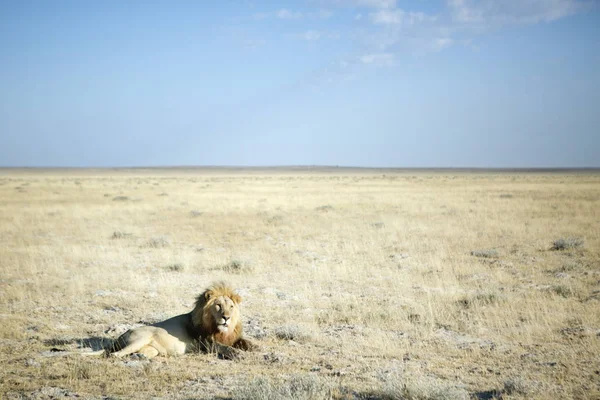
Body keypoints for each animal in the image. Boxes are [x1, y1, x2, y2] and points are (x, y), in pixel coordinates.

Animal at [82, 282, 251, 360]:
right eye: (218, 306)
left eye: (231, 306)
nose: (227, 318)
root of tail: (120, 336)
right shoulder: (206, 344)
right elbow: (225, 348)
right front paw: (239, 354)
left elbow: (247, 342)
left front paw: (252, 348)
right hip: (140, 338)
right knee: (113, 355)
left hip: (152, 349)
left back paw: (140, 357)